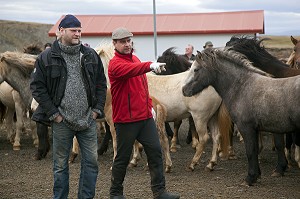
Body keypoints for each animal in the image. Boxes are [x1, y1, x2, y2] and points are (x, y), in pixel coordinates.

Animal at [182, 49, 300, 186]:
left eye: (196, 69)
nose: (184, 90)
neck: (242, 87)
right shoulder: (255, 129)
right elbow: (255, 150)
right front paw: (257, 175)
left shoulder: (246, 128)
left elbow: (250, 151)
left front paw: (250, 178)